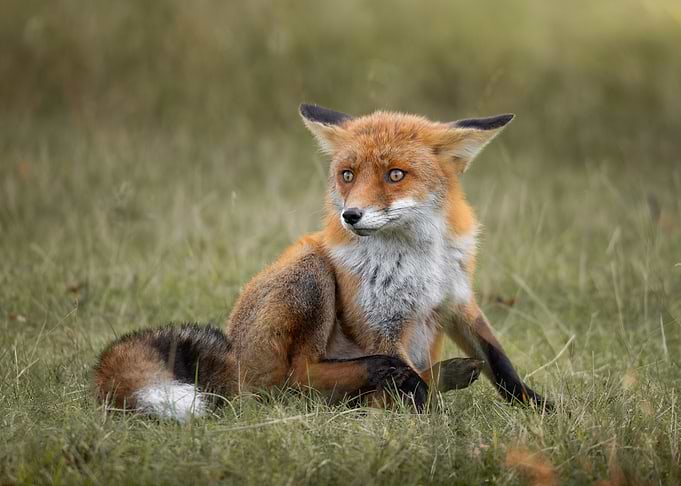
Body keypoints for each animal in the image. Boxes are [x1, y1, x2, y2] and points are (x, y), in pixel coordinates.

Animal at [95, 104, 550, 421]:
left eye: (395, 175)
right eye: (347, 175)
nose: (351, 216)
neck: (417, 262)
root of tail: (233, 357)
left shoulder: (456, 300)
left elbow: (501, 363)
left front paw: (541, 409)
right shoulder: (379, 322)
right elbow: (405, 384)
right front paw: (421, 421)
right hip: (310, 268)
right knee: (297, 381)